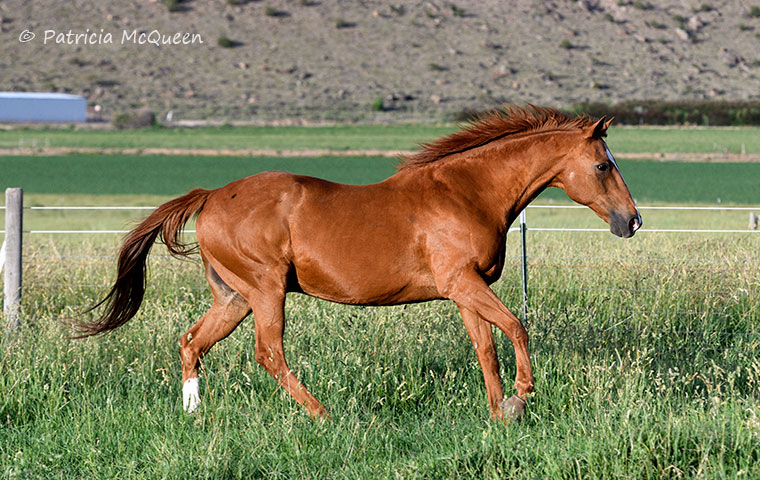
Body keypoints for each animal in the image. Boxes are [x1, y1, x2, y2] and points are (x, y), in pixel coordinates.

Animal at [77, 105, 640, 420]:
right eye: (602, 165)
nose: (631, 221)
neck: (467, 194)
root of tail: (212, 195)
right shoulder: (464, 284)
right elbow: (516, 329)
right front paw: (520, 401)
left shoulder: (466, 290)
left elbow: (486, 347)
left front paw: (499, 412)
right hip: (266, 291)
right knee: (268, 353)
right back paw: (323, 415)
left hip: (234, 296)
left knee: (193, 342)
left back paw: (195, 414)